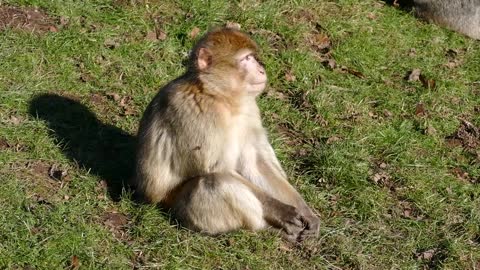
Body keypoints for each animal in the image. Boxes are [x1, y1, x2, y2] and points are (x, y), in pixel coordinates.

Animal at [135, 28, 320, 243]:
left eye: (252, 58)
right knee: (214, 182)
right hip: (178, 208)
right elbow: (217, 168)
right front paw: (281, 211)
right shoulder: (196, 112)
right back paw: (266, 229)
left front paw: (305, 211)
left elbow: (255, 163)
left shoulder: (250, 110)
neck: (220, 97)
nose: (261, 69)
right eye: (246, 59)